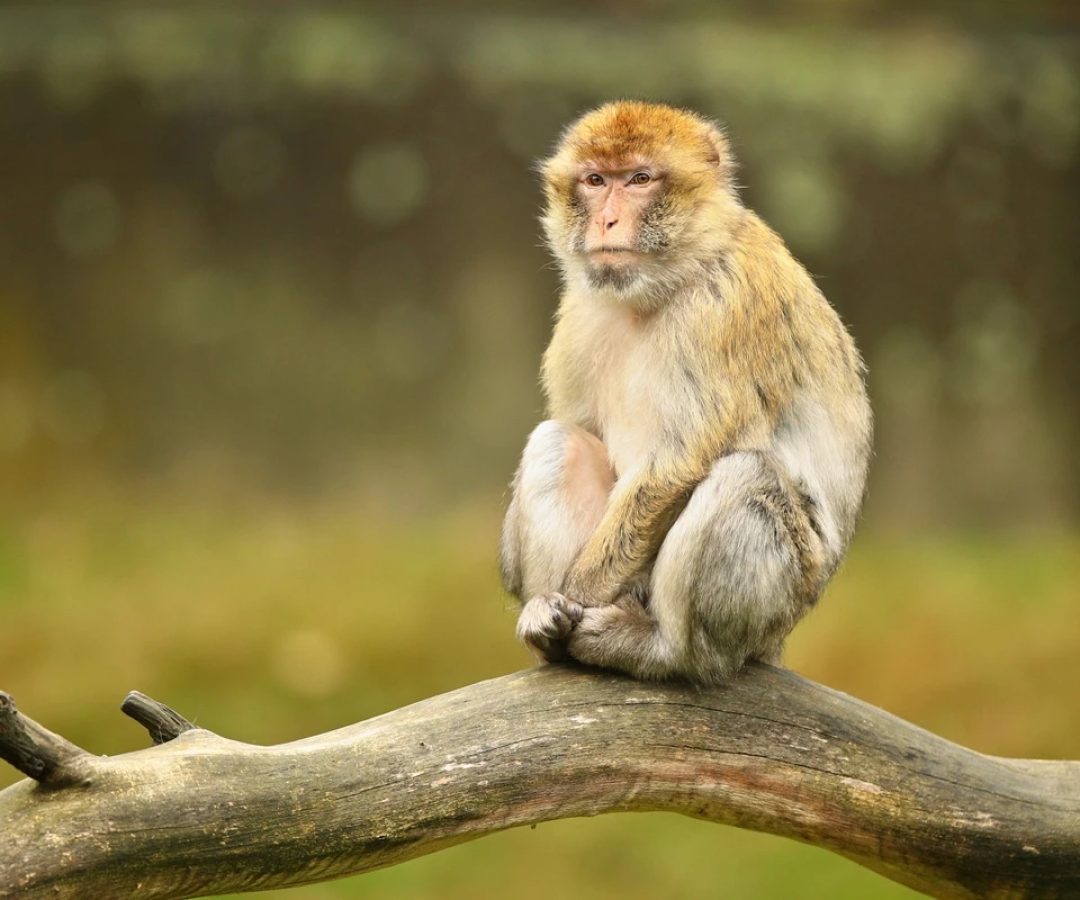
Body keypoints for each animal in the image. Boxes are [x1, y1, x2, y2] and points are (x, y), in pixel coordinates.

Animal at [499, 101, 872, 684]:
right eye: (595, 180)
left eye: (640, 180)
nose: (607, 220)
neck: (668, 279)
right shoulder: (580, 312)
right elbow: (579, 428)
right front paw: (541, 600)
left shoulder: (724, 309)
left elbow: (677, 466)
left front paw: (576, 595)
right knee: (558, 441)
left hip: (775, 605)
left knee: (746, 475)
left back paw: (662, 650)